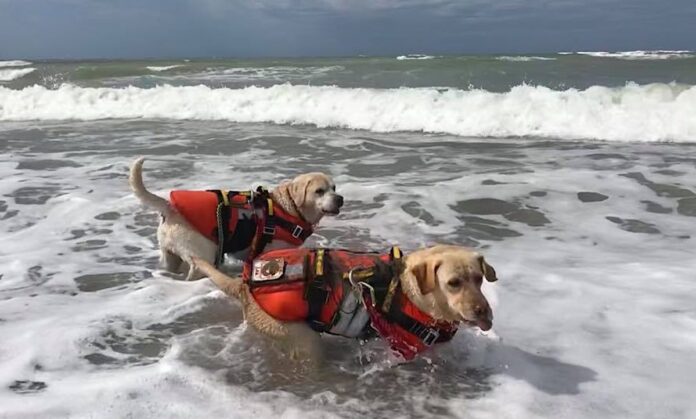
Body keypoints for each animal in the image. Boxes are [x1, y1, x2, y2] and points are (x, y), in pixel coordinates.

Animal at [130, 158, 342, 282]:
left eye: (334, 187)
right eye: (319, 191)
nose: (340, 199)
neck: (287, 208)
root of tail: (170, 207)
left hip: (169, 256)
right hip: (202, 255)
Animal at [190, 246, 494, 360]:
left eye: (479, 278)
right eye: (453, 283)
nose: (483, 311)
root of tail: (243, 284)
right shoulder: (404, 350)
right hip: (303, 340)